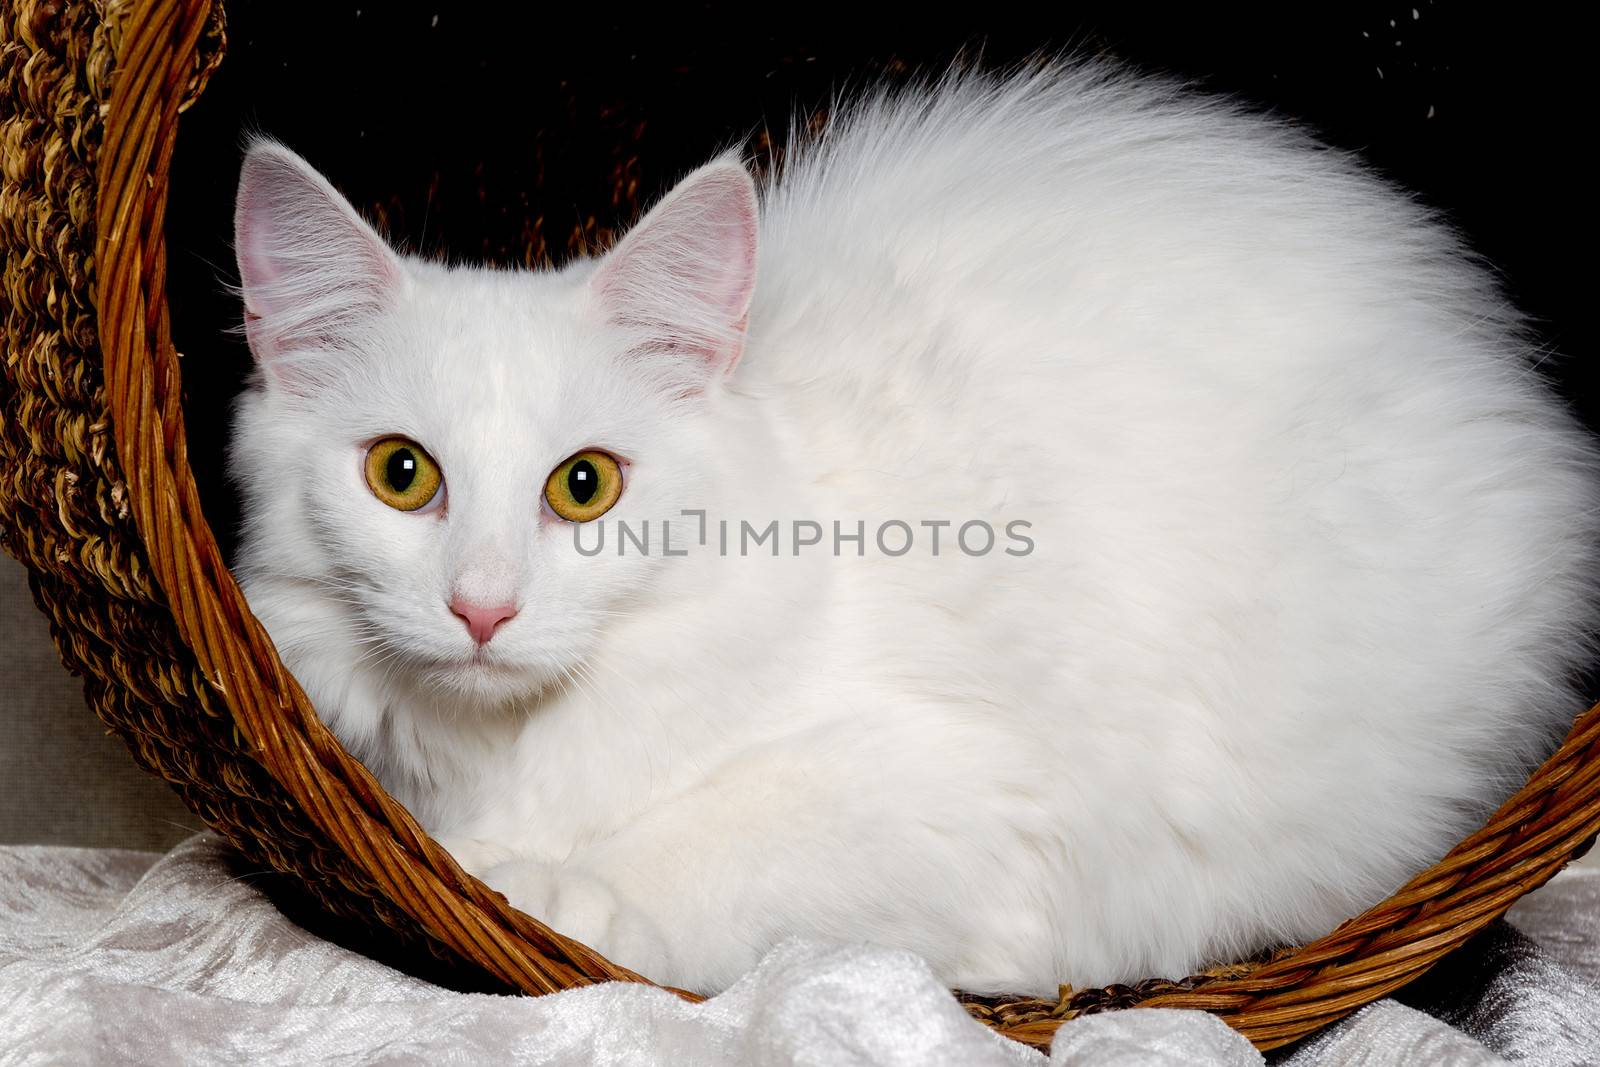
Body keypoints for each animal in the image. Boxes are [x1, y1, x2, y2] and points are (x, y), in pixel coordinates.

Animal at [232, 66, 1593, 998]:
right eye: (402, 474)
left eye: (583, 487)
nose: (482, 606)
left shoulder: (963, 804)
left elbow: (720, 843)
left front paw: (538, 881)